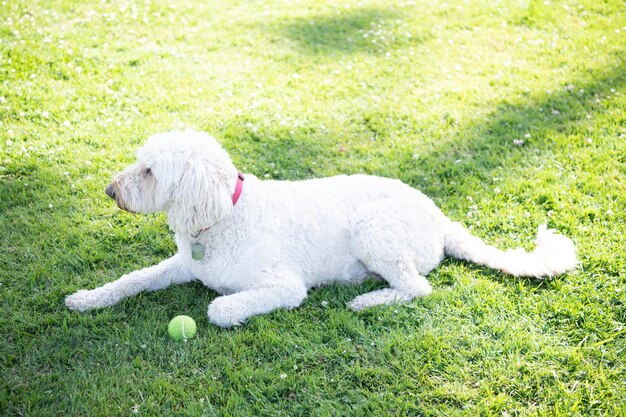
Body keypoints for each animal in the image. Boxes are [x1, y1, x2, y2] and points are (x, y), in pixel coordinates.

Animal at [66, 132, 576, 326]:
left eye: (150, 171)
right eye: (141, 162)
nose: (110, 190)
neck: (228, 216)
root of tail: (440, 217)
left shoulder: (284, 287)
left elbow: (219, 308)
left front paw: (223, 308)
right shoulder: (182, 266)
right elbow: (133, 279)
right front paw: (88, 298)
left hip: (375, 229)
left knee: (417, 288)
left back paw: (368, 299)